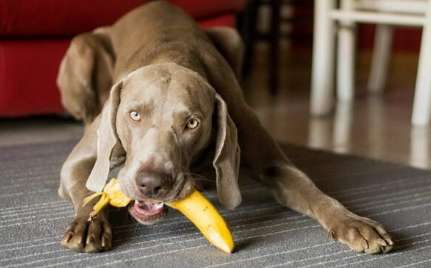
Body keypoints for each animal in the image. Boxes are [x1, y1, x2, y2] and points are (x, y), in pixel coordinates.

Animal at [57, 1, 394, 253]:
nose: (151, 184)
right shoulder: (78, 161)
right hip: (82, 48)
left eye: (192, 123)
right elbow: (88, 190)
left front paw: (352, 222)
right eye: (134, 114)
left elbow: (311, 190)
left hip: (233, 35)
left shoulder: (267, 154)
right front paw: (89, 223)